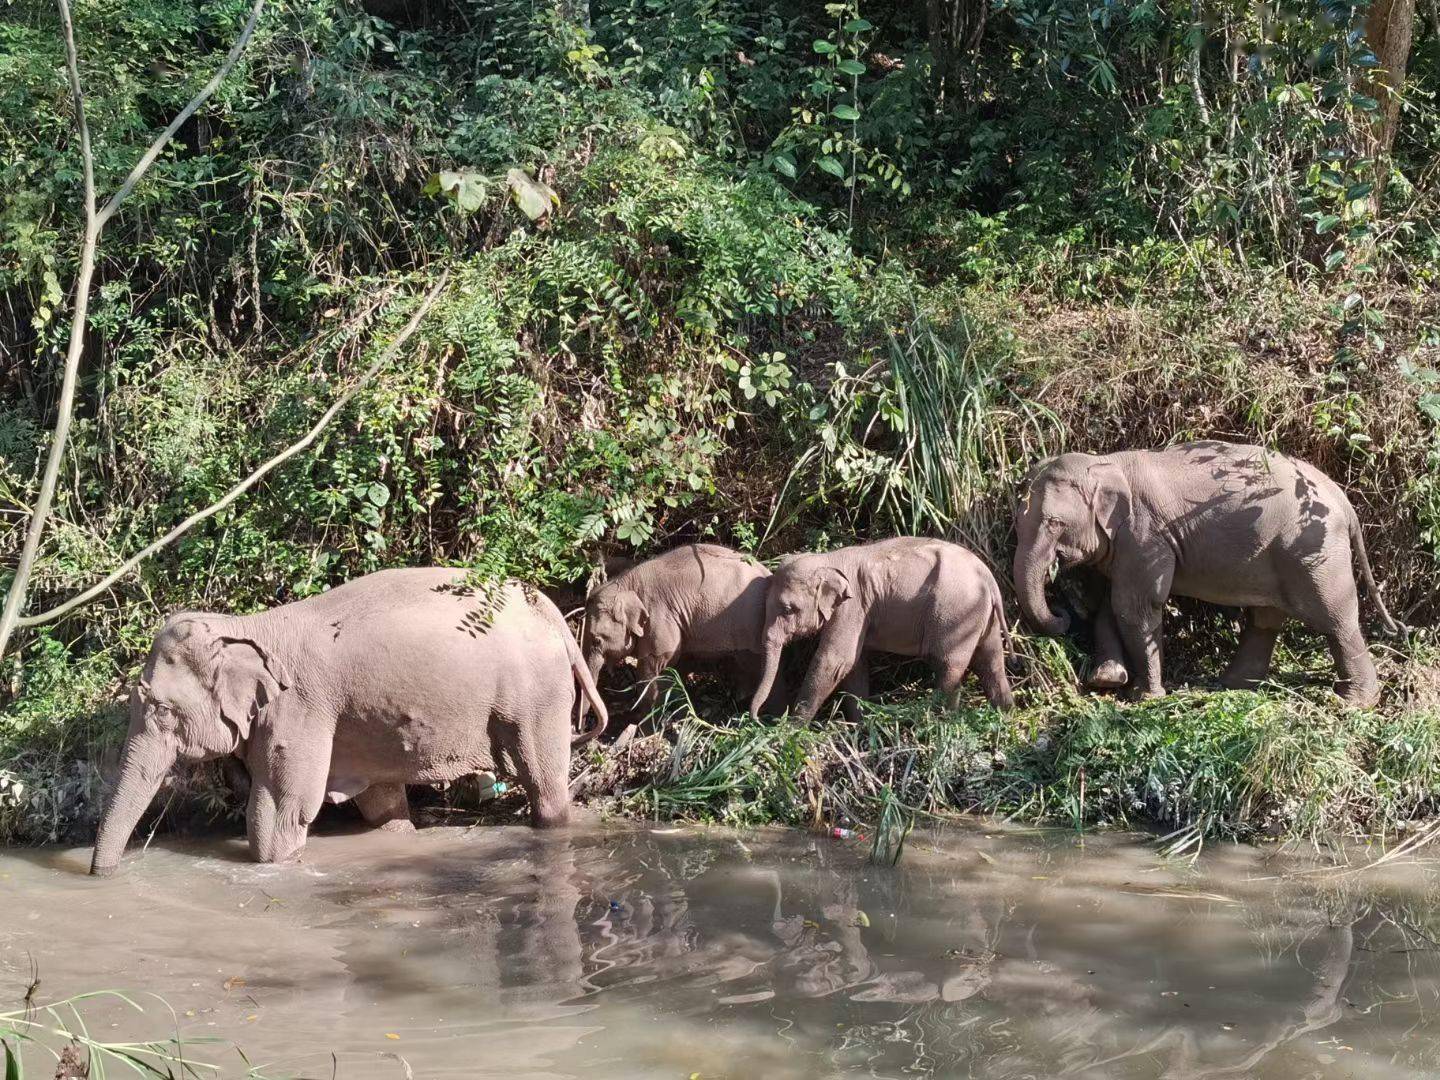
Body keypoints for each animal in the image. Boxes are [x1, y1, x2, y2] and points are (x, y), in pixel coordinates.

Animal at [88, 567, 607, 881]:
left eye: (161, 710)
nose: (101, 877)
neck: (247, 626)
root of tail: (550, 610)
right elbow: (379, 804)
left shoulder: (298, 710)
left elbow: (280, 817)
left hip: (537, 694)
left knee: (544, 783)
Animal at [581, 544, 789, 731]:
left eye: (597, 640)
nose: (582, 728)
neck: (627, 583)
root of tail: (769, 574)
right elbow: (675, 669)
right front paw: (680, 715)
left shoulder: (659, 618)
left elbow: (651, 669)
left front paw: (646, 729)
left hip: (750, 628)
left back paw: (772, 717)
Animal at [748, 538, 1019, 722]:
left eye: (788, 609)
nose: (760, 719)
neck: (828, 560)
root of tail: (988, 577)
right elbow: (853, 666)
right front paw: (859, 724)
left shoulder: (853, 606)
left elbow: (835, 660)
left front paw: (792, 728)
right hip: (983, 617)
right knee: (991, 663)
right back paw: (1006, 716)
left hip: (956, 612)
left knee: (948, 666)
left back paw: (941, 721)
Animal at [1013, 440, 1393, 705]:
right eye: (1017, 523)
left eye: (1054, 523)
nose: (1060, 610)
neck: (1106, 463)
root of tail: (1343, 501)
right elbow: (1111, 605)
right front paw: (1107, 680)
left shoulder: (1145, 535)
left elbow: (1135, 606)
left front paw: (1145, 697)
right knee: (1265, 618)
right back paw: (1232, 684)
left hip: (1313, 551)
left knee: (1334, 618)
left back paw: (1354, 703)